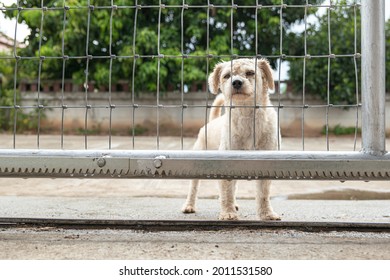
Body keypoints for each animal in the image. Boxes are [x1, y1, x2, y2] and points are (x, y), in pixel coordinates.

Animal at [182, 58, 280, 221]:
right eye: (227, 76)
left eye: (250, 73)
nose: (236, 82)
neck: (247, 115)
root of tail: (212, 121)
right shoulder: (226, 162)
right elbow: (226, 190)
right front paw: (228, 213)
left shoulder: (267, 162)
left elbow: (263, 193)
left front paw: (267, 214)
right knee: (193, 187)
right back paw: (189, 206)